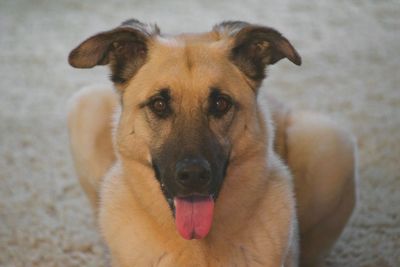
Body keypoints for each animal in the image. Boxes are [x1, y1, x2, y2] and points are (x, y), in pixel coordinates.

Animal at [68, 19, 356, 267]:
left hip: (330, 140)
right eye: (159, 104)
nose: (194, 176)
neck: (198, 244)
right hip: (86, 105)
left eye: (220, 103)